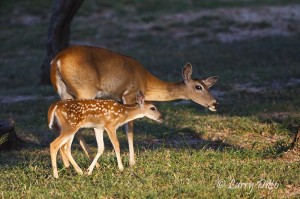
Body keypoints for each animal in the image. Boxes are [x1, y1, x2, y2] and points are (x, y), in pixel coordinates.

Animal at [50, 45, 219, 166]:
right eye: (198, 87)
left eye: (208, 86)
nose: (214, 103)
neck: (146, 82)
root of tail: (57, 60)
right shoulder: (129, 94)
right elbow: (129, 128)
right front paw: (132, 162)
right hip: (85, 89)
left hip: (65, 92)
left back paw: (69, 165)